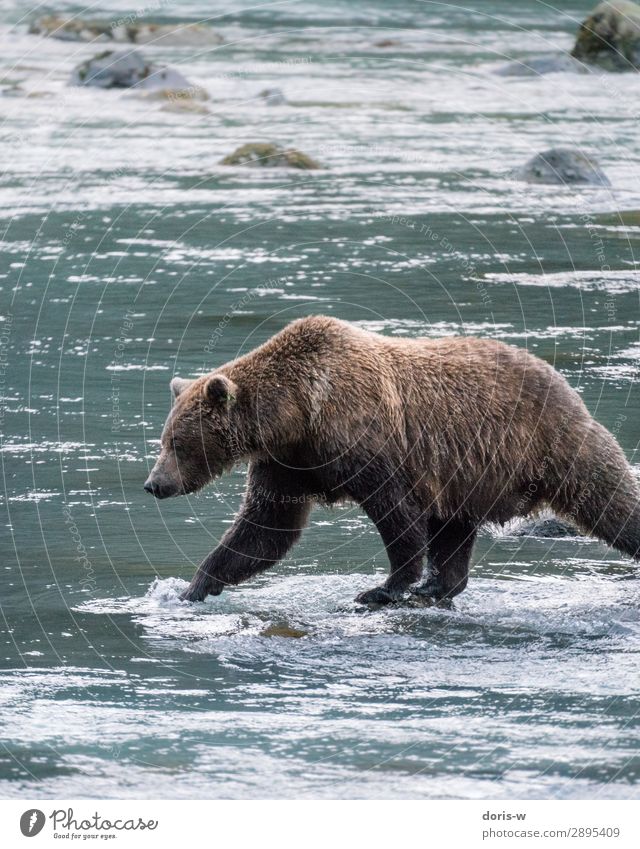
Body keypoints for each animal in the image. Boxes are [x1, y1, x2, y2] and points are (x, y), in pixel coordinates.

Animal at [145, 316, 640, 604]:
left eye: (177, 443)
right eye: (163, 440)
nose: (154, 484)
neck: (298, 413)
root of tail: (560, 378)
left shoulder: (365, 442)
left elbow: (396, 514)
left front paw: (383, 587)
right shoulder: (288, 462)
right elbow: (265, 529)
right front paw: (193, 586)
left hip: (547, 442)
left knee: (611, 498)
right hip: (467, 472)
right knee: (454, 529)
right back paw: (440, 584)